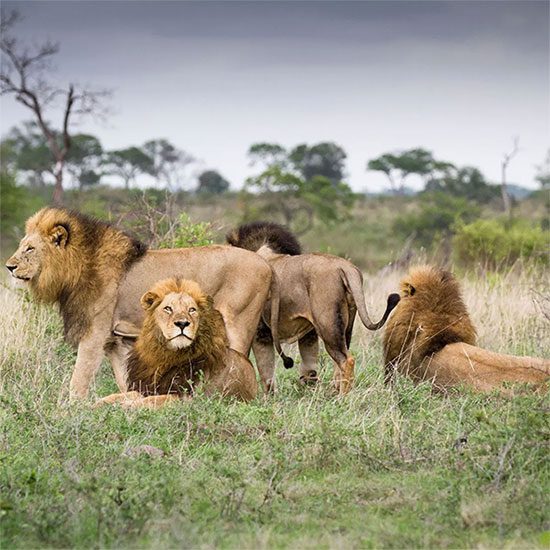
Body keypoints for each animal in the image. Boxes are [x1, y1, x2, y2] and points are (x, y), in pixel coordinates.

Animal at [96, 280, 258, 410]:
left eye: (192, 309)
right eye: (168, 308)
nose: (182, 323)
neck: (166, 356)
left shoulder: (186, 398)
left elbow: (155, 400)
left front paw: (128, 406)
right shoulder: (147, 387)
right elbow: (121, 394)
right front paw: (97, 403)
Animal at [226, 222, 404, 394]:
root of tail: (345, 267)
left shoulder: (260, 334)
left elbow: (263, 371)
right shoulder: (308, 334)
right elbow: (308, 368)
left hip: (328, 325)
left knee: (346, 360)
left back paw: (342, 398)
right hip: (346, 325)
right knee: (339, 361)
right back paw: (334, 392)